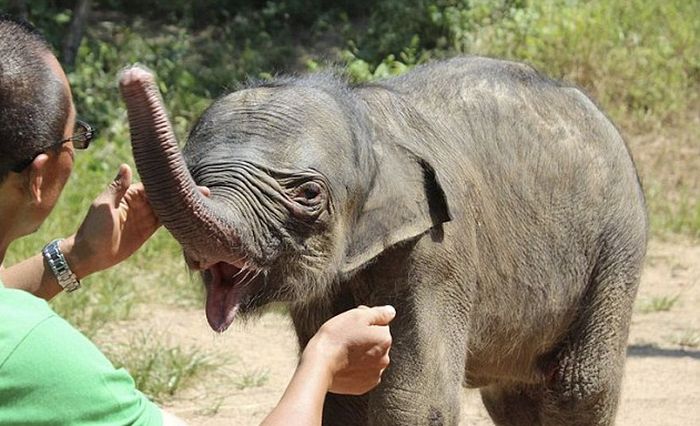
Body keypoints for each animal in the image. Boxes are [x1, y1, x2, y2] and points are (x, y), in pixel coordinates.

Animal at [119, 55, 644, 422]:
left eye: (308, 194)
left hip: (617, 248)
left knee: (580, 387)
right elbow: (341, 400)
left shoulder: (440, 249)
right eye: (197, 178)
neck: (367, 123)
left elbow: (416, 401)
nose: (132, 75)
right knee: (512, 397)